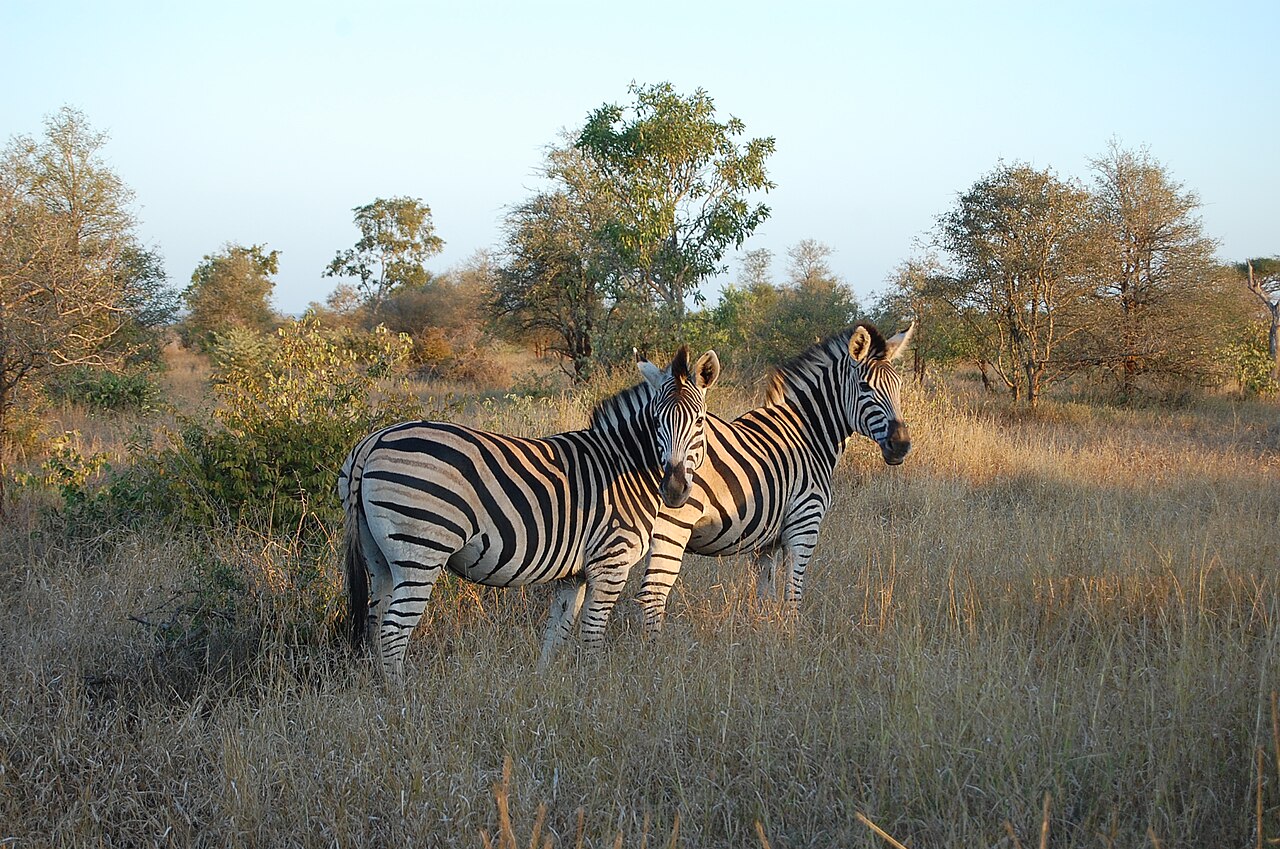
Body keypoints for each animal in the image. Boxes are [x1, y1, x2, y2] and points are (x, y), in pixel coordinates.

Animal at [338, 345, 721, 677]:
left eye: (699, 421)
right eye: (656, 421)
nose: (674, 490)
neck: (623, 464)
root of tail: (373, 441)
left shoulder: (575, 574)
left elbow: (557, 633)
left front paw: (546, 685)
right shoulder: (610, 562)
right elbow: (592, 635)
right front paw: (595, 685)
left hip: (378, 556)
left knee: (375, 622)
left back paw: (377, 690)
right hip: (420, 550)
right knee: (393, 631)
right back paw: (400, 699)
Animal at [635, 321, 913, 631]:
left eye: (899, 386)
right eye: (865, 387)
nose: (901, 445)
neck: (808, 435)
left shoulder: (766, 541)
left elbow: (764, 596)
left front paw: (763, 632)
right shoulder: (804, 524)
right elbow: (793, 594)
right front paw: (791, 636)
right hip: (673, 526)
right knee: (652, 596)